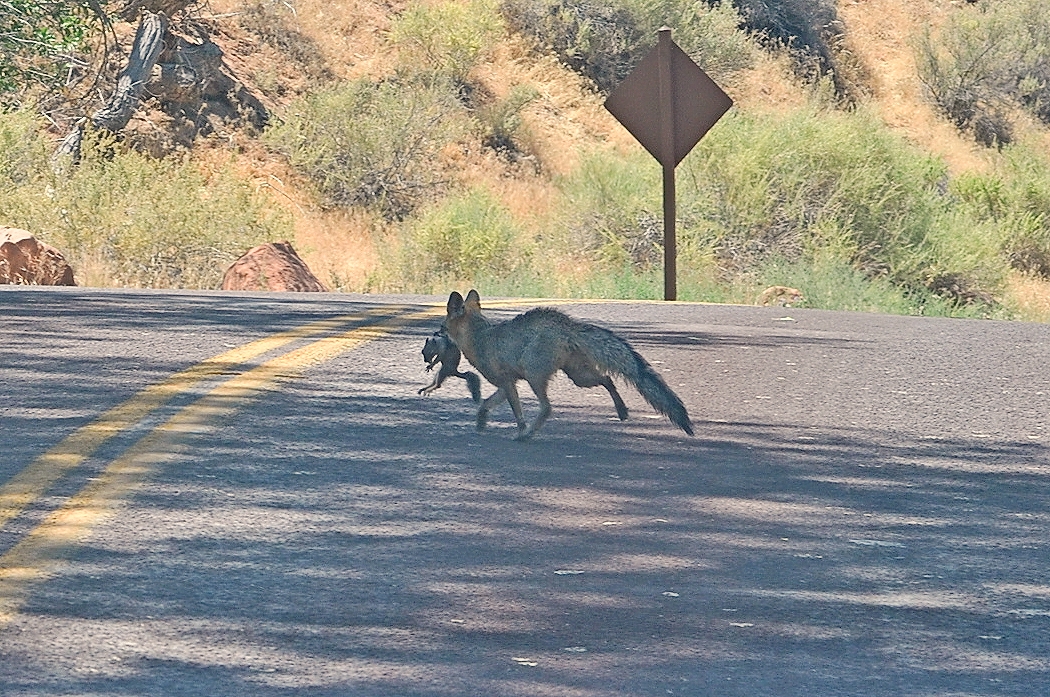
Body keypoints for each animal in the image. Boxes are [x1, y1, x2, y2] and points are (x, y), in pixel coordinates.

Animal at [443, 289, 694, 441]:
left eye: (443, 328)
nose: (437, 334)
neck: (480, 337)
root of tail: (568, 324)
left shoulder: (508, 382)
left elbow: (518, 414)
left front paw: (522, 431)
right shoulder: (508, 384)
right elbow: (485, 404)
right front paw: (480, 423)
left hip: (537, 377)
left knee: (547, 407)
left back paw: (529, 435)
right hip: (579, 376)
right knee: (607, 379)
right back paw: (622, 410)